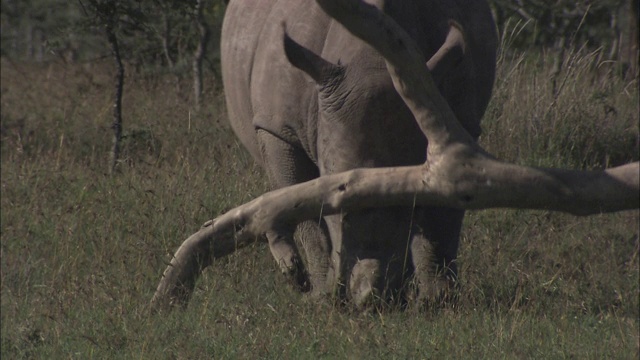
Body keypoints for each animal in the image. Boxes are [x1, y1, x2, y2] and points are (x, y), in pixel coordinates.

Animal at [222, 0, 498, 306]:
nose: (371, 297)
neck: (370, 60)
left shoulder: (457, 126)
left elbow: (442, 211)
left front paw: (436, 299)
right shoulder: (279, 128)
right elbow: (304, 210)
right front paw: (322, 296)